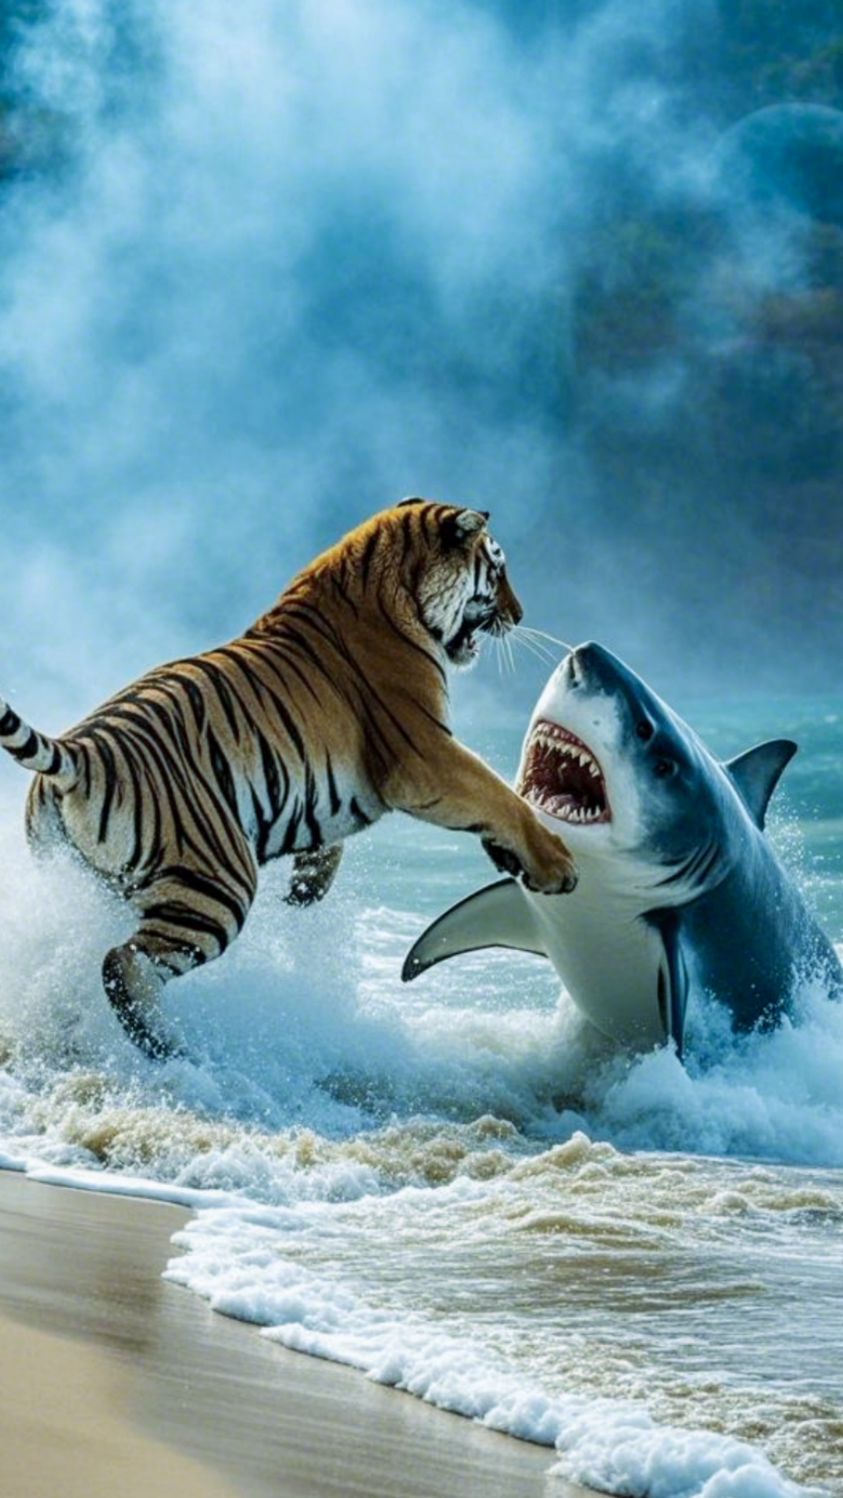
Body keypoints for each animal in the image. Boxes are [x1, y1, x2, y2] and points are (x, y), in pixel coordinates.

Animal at [0, 498, 576, 1060]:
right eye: (497, 569)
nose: (519, 614)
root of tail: (80, 751)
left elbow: (329, 845)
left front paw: (306, 890)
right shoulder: (425, 756)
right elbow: (498, 795)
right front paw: (557, 865)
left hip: (80, 881)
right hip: (217, 882)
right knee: (124, 961)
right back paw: (166, 1046)